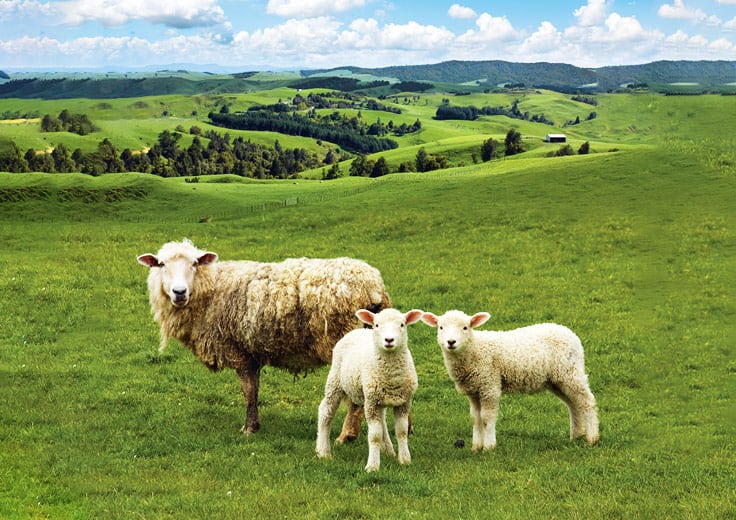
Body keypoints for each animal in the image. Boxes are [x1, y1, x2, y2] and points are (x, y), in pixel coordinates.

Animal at [137, 239, 392, 434]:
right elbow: (255, 389)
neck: (211, 289)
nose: (179, 292)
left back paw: (347, 435)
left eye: (194, 263)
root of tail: (373, 287)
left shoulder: (238, 351)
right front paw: (255, 424)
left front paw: (249, 428)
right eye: (161, 264)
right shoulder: (252, 353)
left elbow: (248, 390)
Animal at [314, 306, 422, 474]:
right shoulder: (372, 403)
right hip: (336, 380)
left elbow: (402, 431)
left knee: (382, 420)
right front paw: (372, 466)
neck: (391, 377)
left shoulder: (403, 402)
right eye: (377, 325)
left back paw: (389, 450)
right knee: (325, 411)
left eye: (402, 324)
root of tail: (359, 330)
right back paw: (323, 451)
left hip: (375, 397)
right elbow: (375, 436)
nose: (389, 340)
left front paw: (404, 460)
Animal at [420, 308, 600, 450]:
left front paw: (489, 446)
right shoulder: (474, 390)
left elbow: (487, 417)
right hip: (557, 379)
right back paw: (576, 435)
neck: (475, 349)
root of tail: (570, 333)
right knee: (573, 404)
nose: (451, 342)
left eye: (465, 327)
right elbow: (475, 418)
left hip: (570, 372)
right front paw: (476, 446)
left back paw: (592, 438)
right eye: (441, 327)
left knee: (586, 401)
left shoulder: (489, 385)